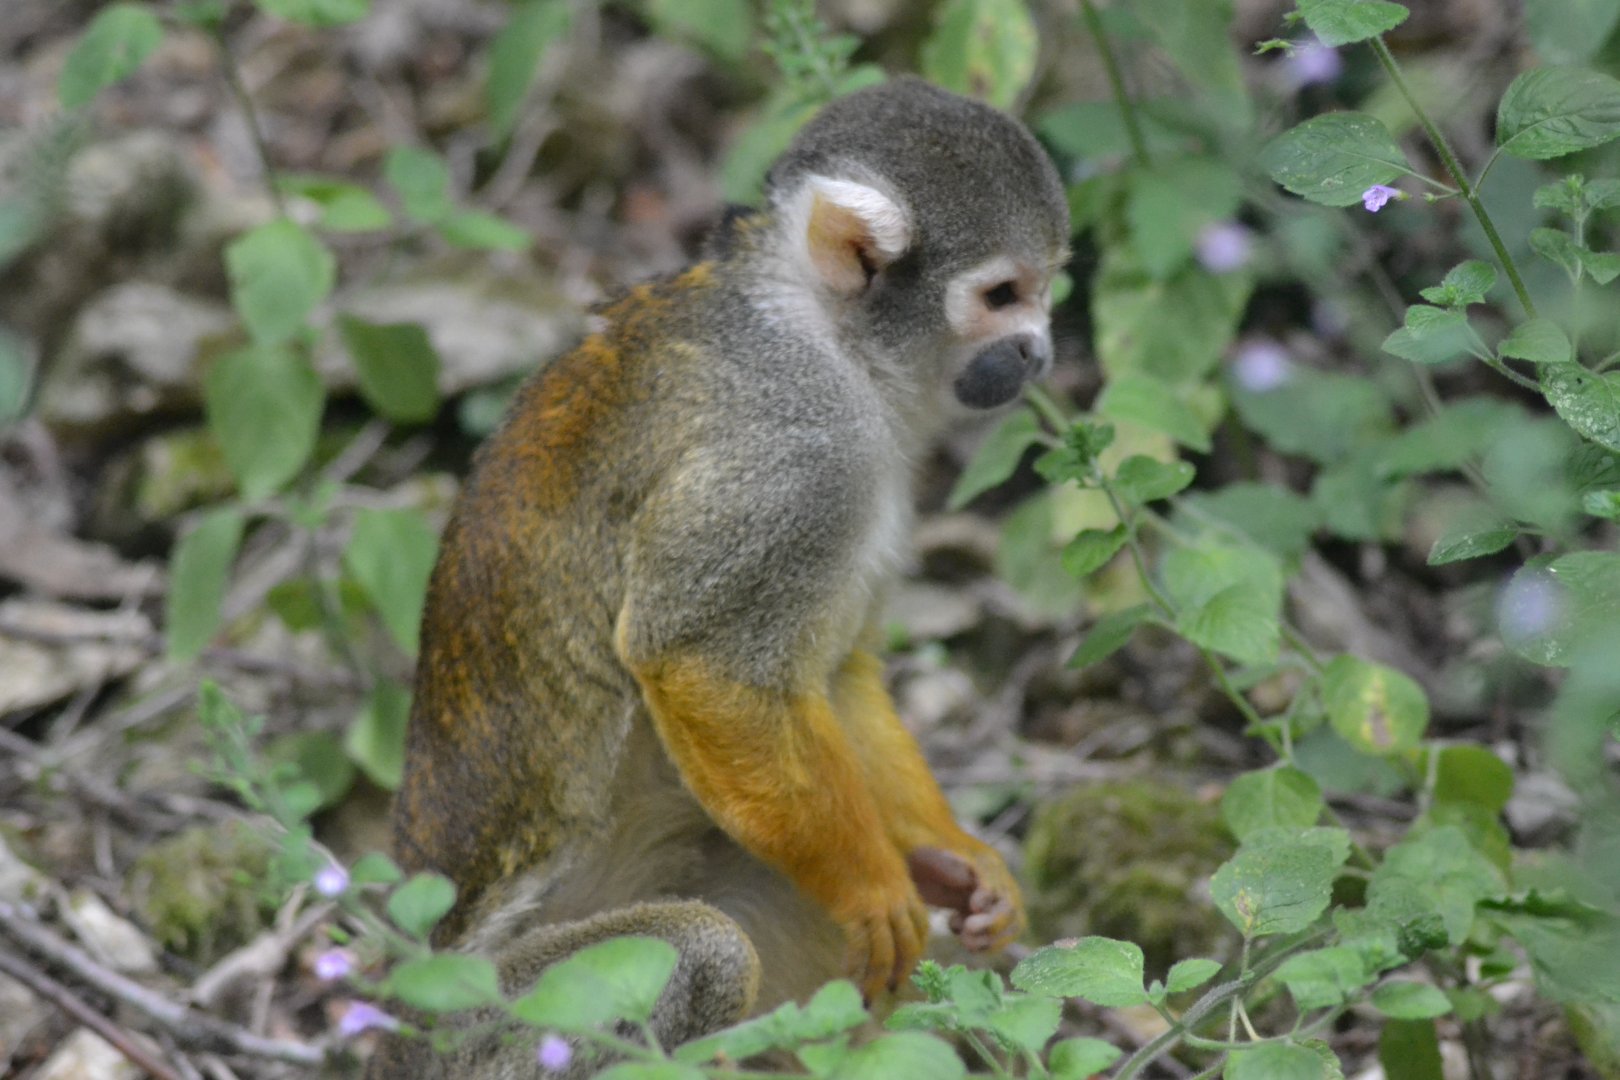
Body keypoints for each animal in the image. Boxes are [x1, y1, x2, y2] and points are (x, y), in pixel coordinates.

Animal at [368, 76, 1070, 1078]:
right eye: (1002, 295)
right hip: (485, 1035)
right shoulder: (795, 453)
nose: (1039, 351)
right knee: (698, 946)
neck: (828, 337)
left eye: (1045, 290)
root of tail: (395, 1029)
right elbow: (702, 662)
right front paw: (873, 886)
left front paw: (954, 859)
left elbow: (834, 674)